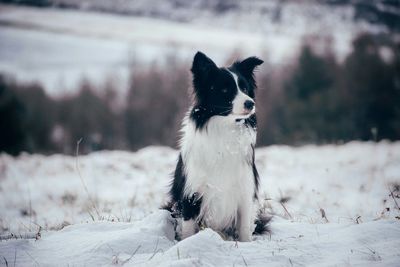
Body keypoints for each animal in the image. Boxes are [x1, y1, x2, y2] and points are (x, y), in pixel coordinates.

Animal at [164, 51, 270, 242]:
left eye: (245, 89)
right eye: (225, 90)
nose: (250, 103)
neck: (225, 129)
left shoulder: (245, 190)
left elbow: (244, 229)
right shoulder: (191, 193)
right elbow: (188, 229)